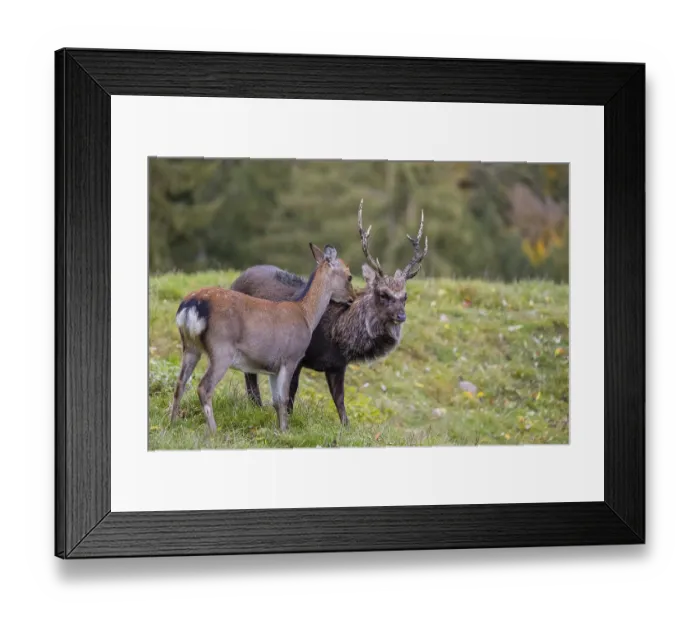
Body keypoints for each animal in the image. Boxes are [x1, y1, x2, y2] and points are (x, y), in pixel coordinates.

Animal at [170, 243, 355, 433]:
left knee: (180, 383)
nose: (352, 298)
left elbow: (276, 401)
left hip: (190, 347)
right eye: (350, 276)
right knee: (204, 387)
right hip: (221, 349)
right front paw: (285, 431)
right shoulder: (291, 358)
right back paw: (214, 431)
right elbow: (284, 398)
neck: (306, 315)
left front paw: (279, 429)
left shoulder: (272, 366)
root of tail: (191, 306)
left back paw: (172, 423)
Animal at [230, 199, 428, 426]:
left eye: (405, 296)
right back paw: (256, 405)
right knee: (249, 375)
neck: (336, 336)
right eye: (383, 294)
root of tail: (237, 278)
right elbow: (291, 394)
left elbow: (340, 401)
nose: (401, 316)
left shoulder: (338, 366)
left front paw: (346, 427)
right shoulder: (298, 357)